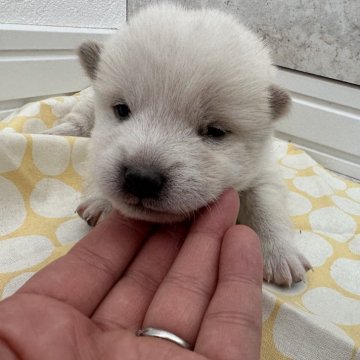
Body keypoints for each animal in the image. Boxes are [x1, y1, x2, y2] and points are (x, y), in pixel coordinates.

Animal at [46, 2, 310, 284]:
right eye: (121, 109)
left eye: (214, 131)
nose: (141, 178)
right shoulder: (102, 142)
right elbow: (99, 158)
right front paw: (101, 201)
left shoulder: (261, 166)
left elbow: (266, 201)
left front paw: (281, 255)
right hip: (87, 104)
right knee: (79, 118)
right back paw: (58, 131)